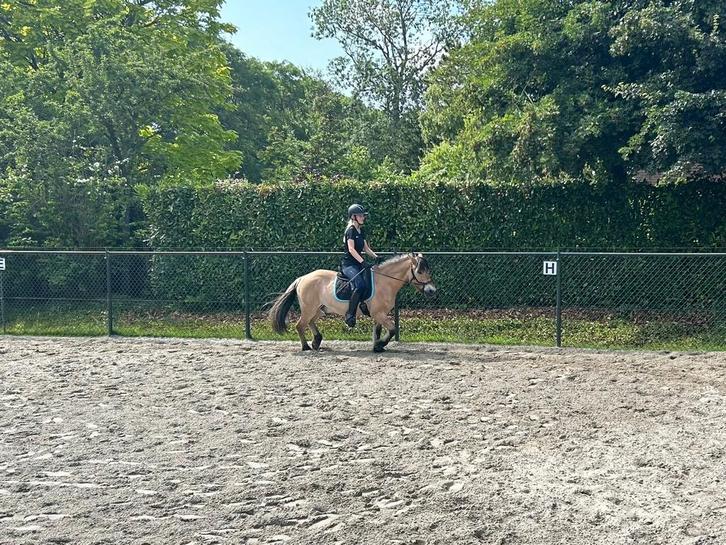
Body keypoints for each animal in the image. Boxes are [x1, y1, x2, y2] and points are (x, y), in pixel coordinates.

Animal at [269, 253, 437, 352]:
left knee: (309, 322)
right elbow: (393, 330)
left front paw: (377, 347)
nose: (432, 290)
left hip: (320, 309)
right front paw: (380, 345)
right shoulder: (379, 314)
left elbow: (378, 331)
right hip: (309, 309)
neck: (384, 281)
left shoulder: (379, 314)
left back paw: (316, 342)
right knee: (300, 325)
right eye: (420, 271)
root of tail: (302, 278)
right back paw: (306, 347)